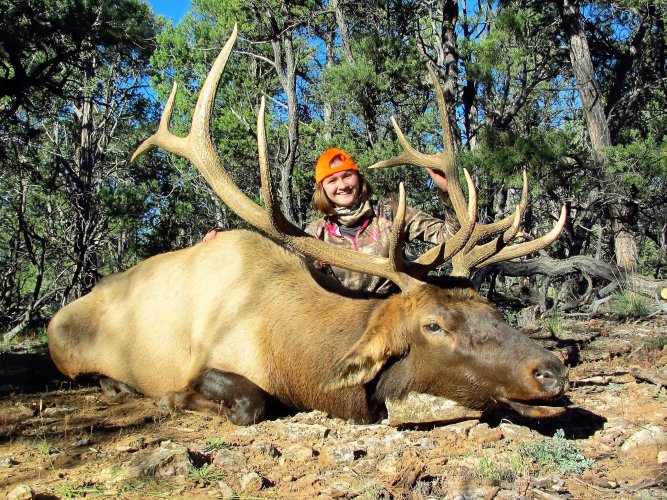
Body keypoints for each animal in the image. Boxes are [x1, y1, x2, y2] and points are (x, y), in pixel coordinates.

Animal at [47, 25, 569, 425]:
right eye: (434, 325)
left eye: (493, 310)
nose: (552, 369)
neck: (290, 358)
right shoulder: (204, 361)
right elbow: (249, 403)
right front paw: (172, 399)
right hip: (63, 348)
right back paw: (116, 385)